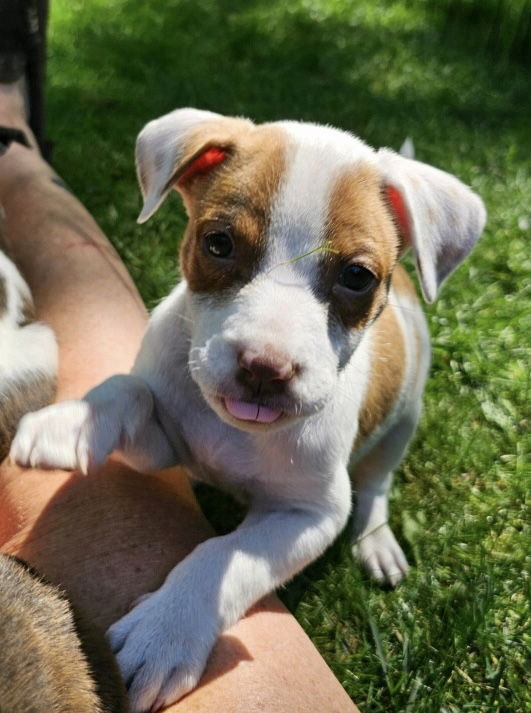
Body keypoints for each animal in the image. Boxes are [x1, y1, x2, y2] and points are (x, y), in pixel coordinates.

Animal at [10, 108, 488, 708]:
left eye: (356, 277)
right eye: (218, 244)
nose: (265, 367)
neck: (238, 434)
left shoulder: (310, 516)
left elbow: (224, 556)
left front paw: (165, 631)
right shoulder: (166, 443)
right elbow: (132, 390)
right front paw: (72, 421)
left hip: (402, 421)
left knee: (377, 484)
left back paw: (377, 543)